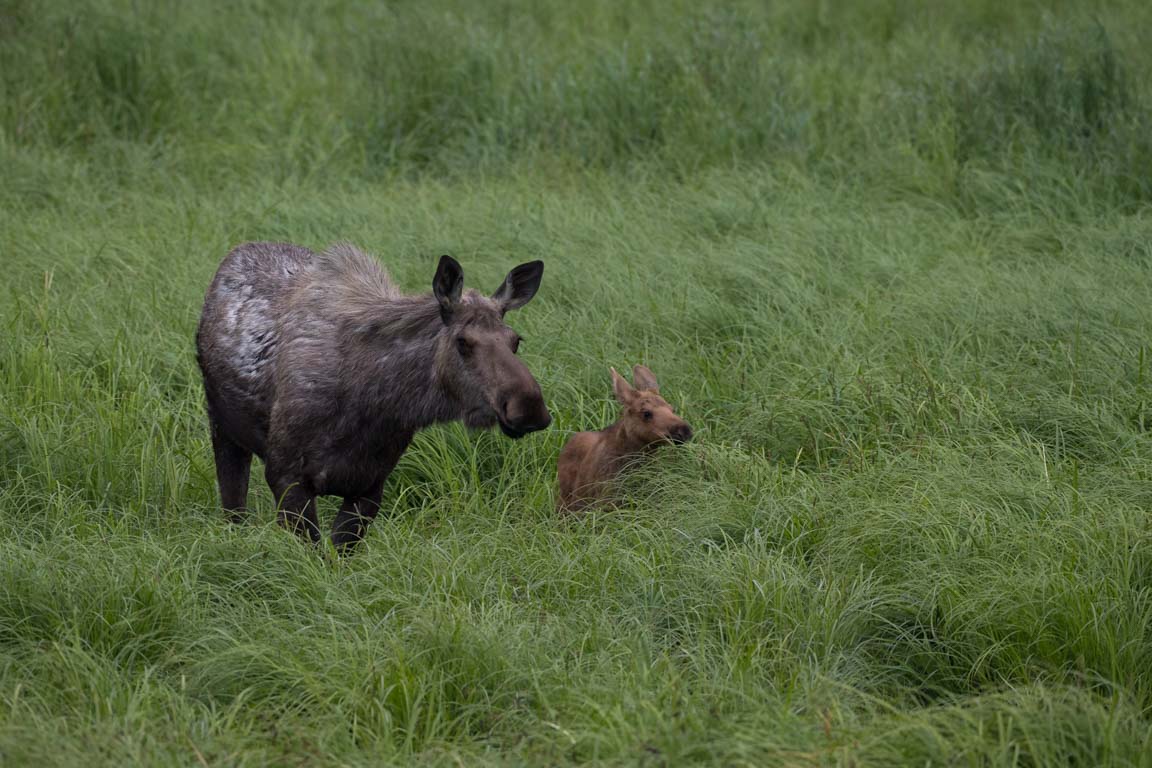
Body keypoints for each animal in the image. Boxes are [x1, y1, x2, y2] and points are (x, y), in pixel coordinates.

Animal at [195, 242, 550, 550]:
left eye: (516, 340)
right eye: (463, 341)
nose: (529, 408)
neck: (373, 401)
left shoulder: (370, 485)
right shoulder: (286, 476)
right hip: (222, 429)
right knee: (233, 510)